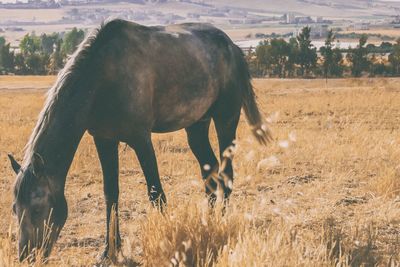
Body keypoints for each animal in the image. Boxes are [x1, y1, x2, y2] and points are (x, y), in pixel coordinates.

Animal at [7, 19, 272, 264]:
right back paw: (209, 222)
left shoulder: (141, 140)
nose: (26, 256)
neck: (104, 76)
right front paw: (108, 251)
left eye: (38, 208)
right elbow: (111, 194)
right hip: (197, 125)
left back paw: (221, 222)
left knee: (226, 174)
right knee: (210, 171)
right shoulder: (104, 139)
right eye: (14, 209)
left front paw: (168, 243)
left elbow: (156, 193)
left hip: (226, 119)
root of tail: (233, 48)